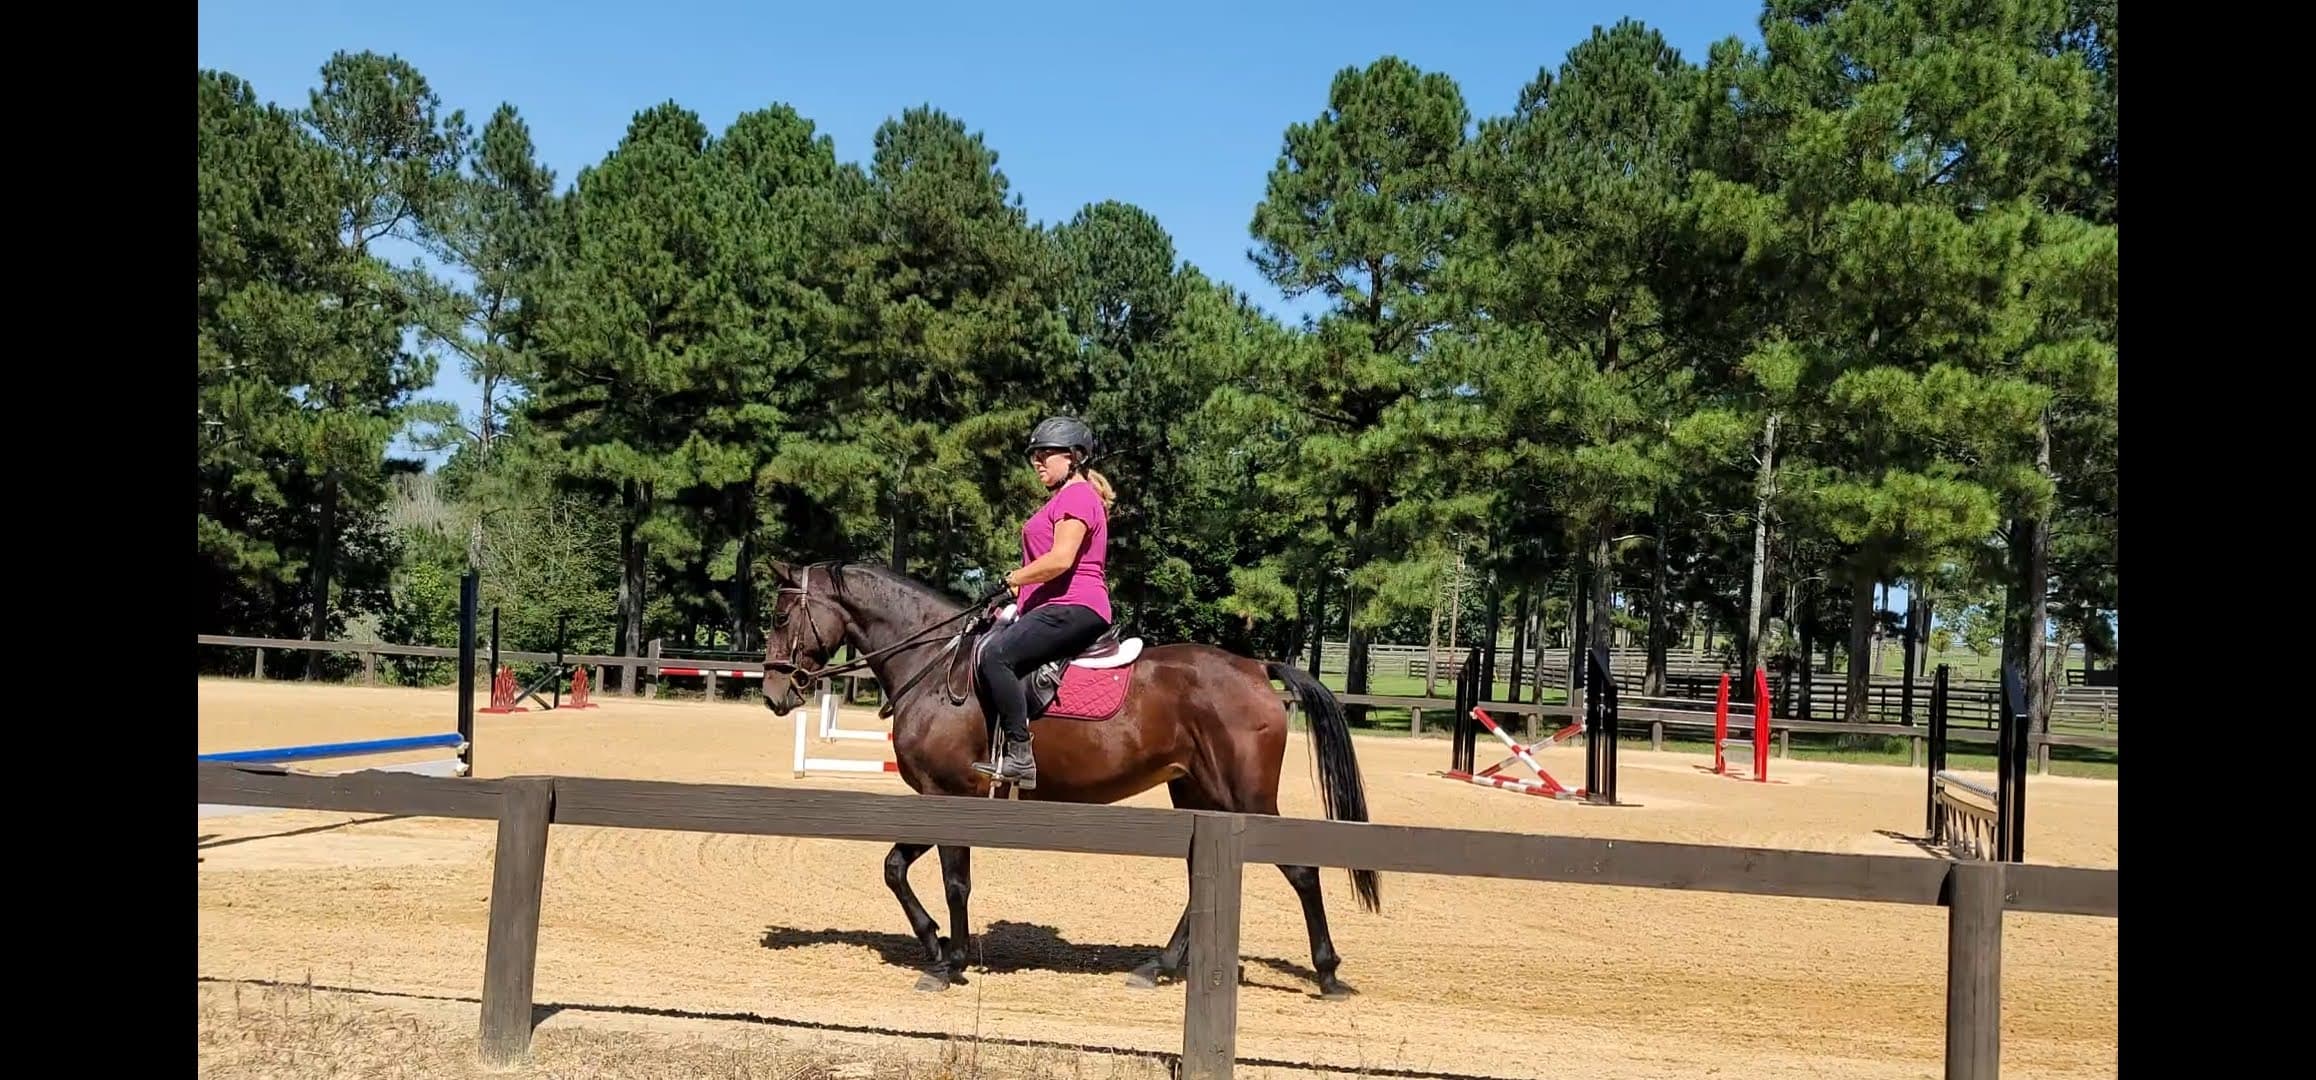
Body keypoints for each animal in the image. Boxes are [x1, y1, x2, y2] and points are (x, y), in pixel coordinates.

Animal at [758, 559, 1381, 999]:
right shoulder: (940, 798)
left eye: (781, 617)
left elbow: (955, 881)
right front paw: (934, 943)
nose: (773, 693)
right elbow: (894, 867)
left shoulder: (950, 794)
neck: (934, 666)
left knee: (1300, 871)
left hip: (1244, 795)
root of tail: (1255, 669)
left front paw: (949, 962)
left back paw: (1328, 974)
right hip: (1201, 796)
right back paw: (1158, 966)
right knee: (1203, 880)